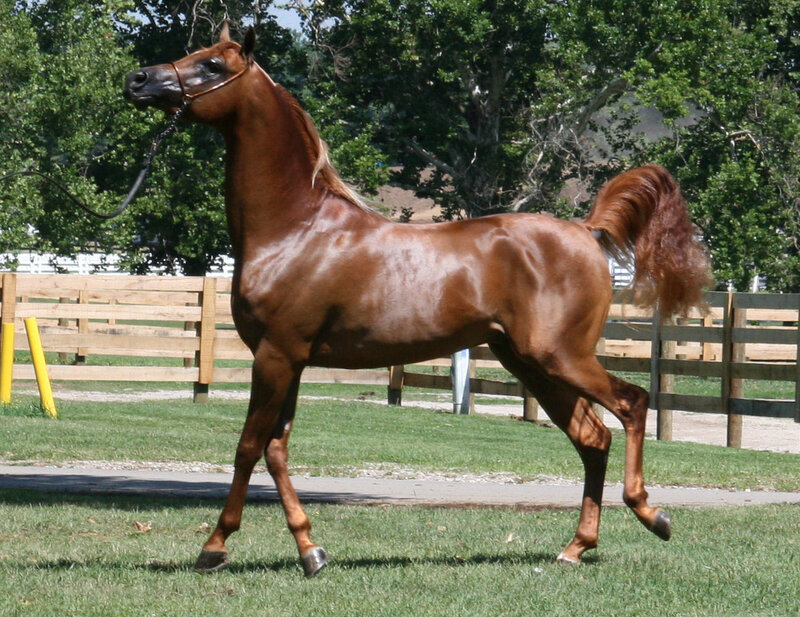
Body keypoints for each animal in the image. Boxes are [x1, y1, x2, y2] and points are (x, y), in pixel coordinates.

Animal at [124, 25, 711, 577]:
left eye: (212, 65)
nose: (137, 80)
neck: (296, 229)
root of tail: (586, 231)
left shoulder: (276, 354)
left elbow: (248, 446)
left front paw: (215, 546)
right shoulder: (289, 360)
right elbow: (276, 449)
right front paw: (311, 550)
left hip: (559, 357)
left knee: (632, 404)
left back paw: (651, 514)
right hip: (531, 365)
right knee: (592, 438)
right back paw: (575, 548)